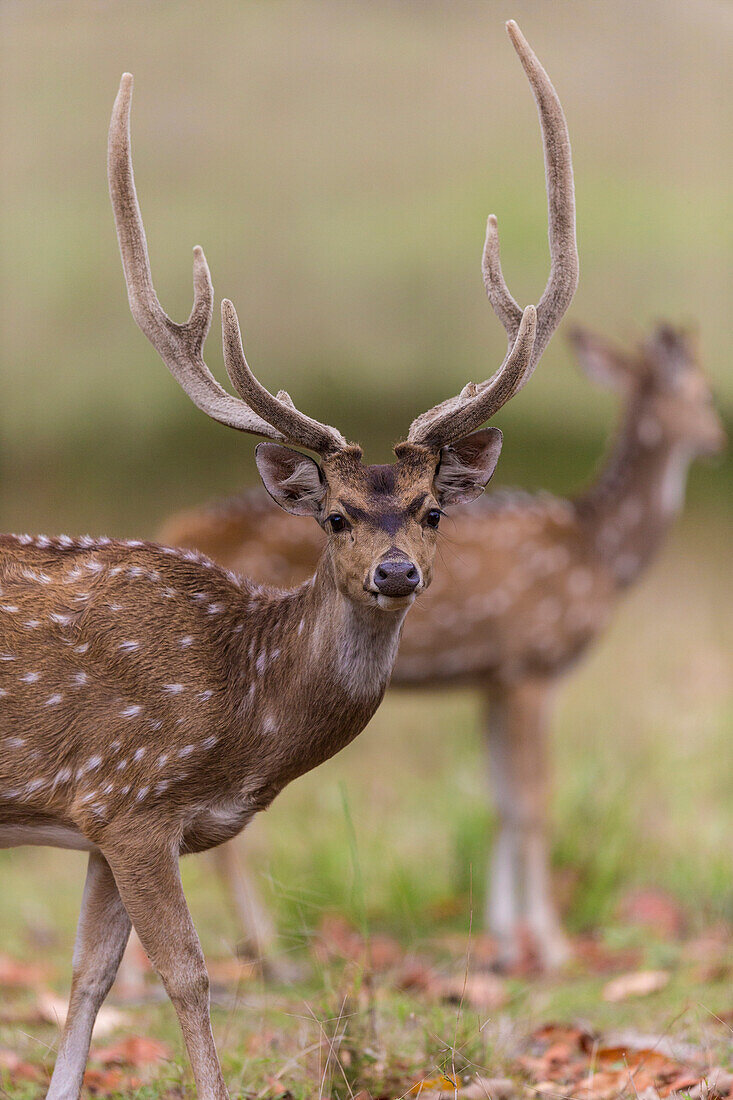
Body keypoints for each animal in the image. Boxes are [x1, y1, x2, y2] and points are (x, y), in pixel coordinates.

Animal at [0, 19, 576, 1100]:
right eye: (336, 517)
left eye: (433, 509)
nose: (396, 572)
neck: (246, 710)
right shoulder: (131, 794)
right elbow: (188, 975)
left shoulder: (101, 817)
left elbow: (90, 975)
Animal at [150, 321, 721, 976]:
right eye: (707, 393)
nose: (719, 439)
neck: (600, 553)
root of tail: (172, 529)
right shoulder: (532, 662)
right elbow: (534, 802)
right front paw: (552, 948)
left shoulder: (492, 679)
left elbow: (501, 802)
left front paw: (504, 943)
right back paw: (273, 957)